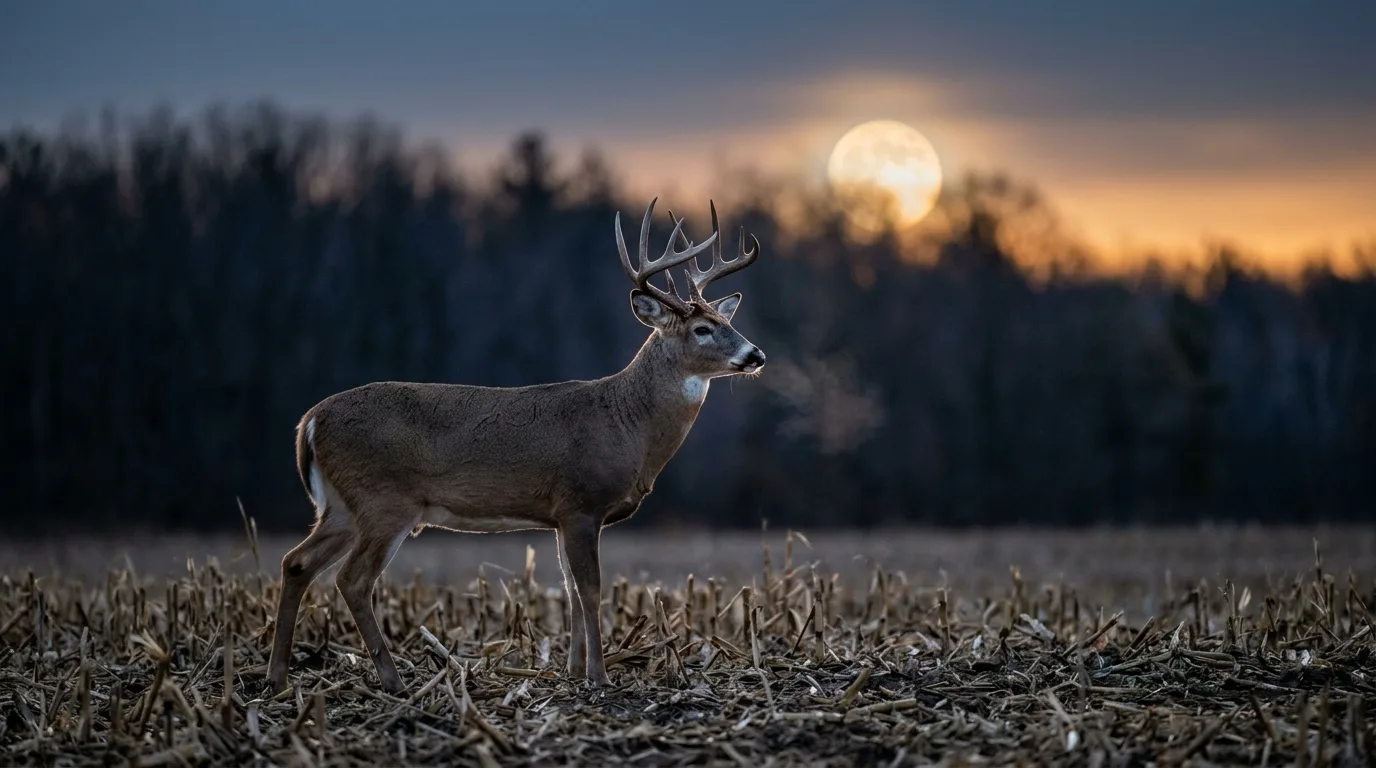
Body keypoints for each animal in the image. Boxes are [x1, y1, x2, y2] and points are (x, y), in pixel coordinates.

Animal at [265, 198, 766, 694]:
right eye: (702, 329)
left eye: (727, 320)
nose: (755, 354)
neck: (627, 423)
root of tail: (310, 421)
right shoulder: (582, 504)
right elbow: (590, 589)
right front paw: (600, 676)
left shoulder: (560, 516)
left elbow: (568, 589)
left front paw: (573, 671)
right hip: (384, 501)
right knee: (352, 580)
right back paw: (393, 681)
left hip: (341, 506)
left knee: (296, 562)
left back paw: (276, 677)